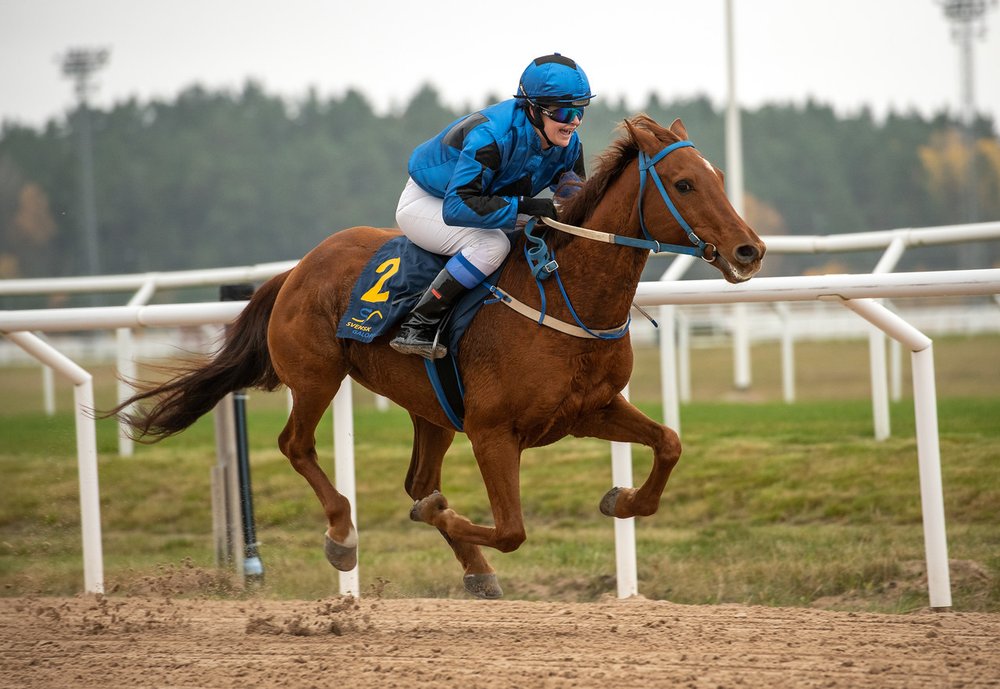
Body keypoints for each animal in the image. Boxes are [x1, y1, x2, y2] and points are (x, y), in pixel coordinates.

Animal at [111, 113, 764, 596]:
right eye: (683, 183)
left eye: (718, 176)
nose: (749, 250)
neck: (566, 293)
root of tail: (295, 269)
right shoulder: (492, 431)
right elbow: (510, 528)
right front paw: (441, 519)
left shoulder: (590, 409)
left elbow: (669, 444)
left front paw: (621, 498)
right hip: (318, 376)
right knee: (297, 445)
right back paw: (343, 534)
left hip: (431, 407)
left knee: (416, 479)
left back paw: (474, 571)